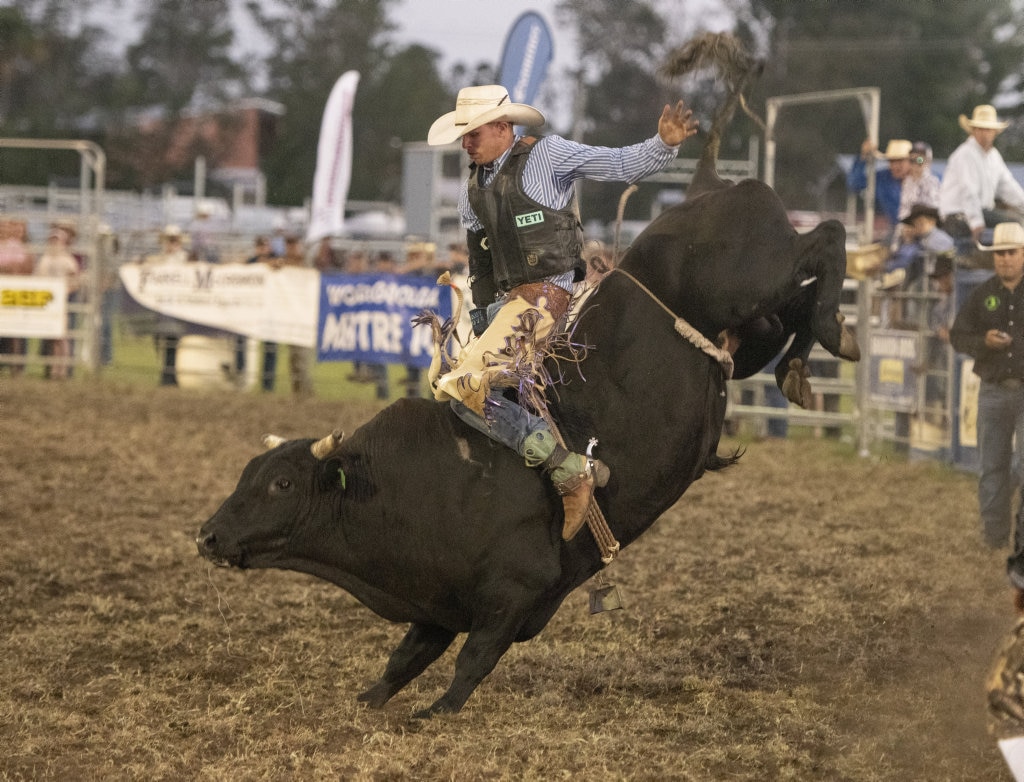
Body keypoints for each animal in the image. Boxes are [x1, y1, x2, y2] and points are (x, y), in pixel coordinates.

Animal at [195, 174, 860, 716]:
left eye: (280, 483)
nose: (207, 536)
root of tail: (725, 189)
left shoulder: (514, 595)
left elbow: (472, 662)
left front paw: (432, 714)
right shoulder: (437, 606)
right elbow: (405, 658)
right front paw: (370, 699)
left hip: (751, 280)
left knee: (825, 238)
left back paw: (835, 331)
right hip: (752, 326)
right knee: (788, 315)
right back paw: (801, 366)